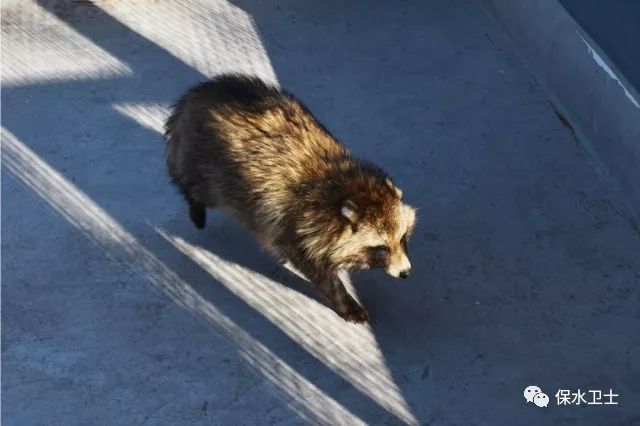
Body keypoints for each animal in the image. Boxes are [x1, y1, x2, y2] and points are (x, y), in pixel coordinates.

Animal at [165, 75, 416, 322]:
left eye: (402, 238)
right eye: (381, 247)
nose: (405, 272)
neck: (347, 187)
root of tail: (196, 94)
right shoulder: (298, 226)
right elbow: (316, 269)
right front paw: (345, 301)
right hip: (204, 160)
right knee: (194, 185)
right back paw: (194, 205)